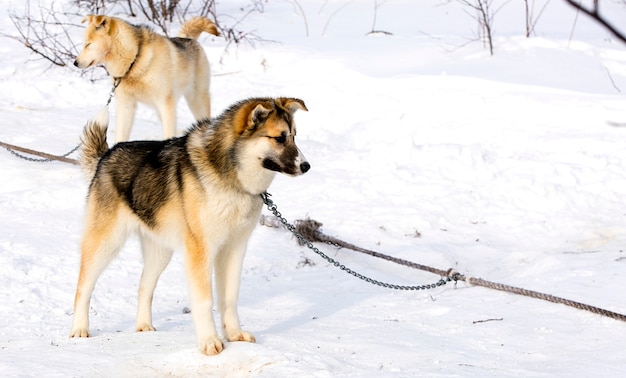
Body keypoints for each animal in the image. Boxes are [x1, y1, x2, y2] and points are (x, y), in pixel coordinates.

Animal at [69, 96, 310, 354]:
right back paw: (79, 329)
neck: (232, 181)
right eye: (279, 138)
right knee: (83, 287)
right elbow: (204, 300)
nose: (306, 166)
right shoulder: (200, 250)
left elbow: (230, 296)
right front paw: (209, 342)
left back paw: (144, 326)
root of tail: (107, 155)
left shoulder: (234, 248)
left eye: (294, 135)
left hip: (160, 253)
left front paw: (234, 334)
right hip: (106, 244)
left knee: (144, 287)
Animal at [74, 14, 219, 142]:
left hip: (196, 100)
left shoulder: (165, 103)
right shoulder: (126, 105)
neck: (134, 60)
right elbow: (120, 135)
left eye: (87, 44)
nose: (75, 62)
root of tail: (188, 39)